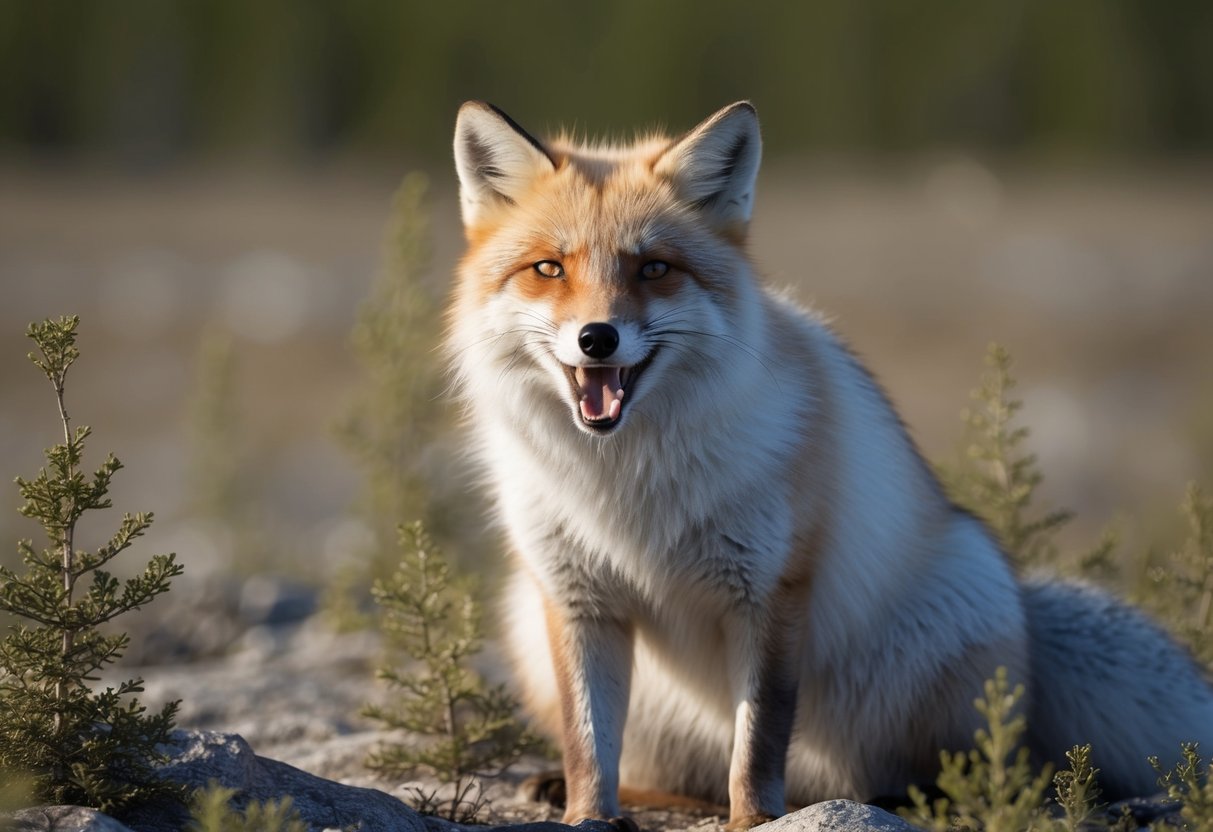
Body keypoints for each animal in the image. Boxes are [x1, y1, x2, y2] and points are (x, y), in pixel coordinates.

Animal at [444, 100, 1213, 830]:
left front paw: (754, 821)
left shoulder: (771, 588)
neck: (624, 485)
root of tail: (1027, 614)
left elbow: (758, 739)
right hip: (530, 619)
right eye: (549, 268)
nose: (596, 338)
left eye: (653, 268)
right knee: (685, 778)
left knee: (961, 775)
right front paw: (588, 816)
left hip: (955, 619)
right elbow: (588, 743)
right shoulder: (576, 598)